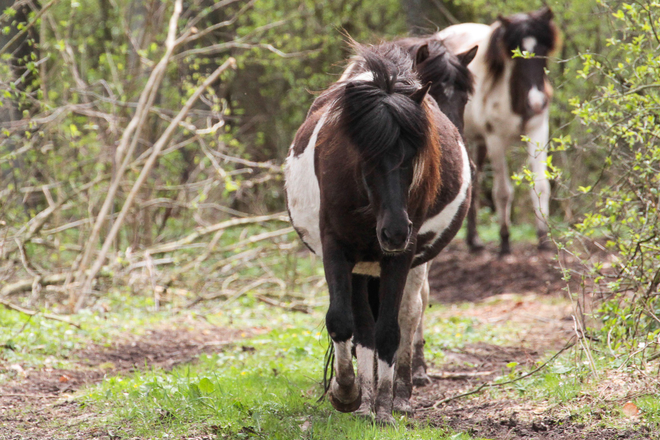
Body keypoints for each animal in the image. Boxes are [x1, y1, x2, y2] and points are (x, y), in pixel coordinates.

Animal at [286, 43, 472, 424]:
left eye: (414, 156)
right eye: (365, 158)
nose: (395, 231)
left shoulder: (402, 256)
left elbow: (391, 328)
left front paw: (385, 404)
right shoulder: (338, 250)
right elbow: (343, 322)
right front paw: (347, 392)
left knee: (405, 314)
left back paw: (397, 393)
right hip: (362, 265)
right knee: (363, 326)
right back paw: (364, 394)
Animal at [436, 6, 560, 254]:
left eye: (542, 51)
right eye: (515, 54)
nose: (537, 102)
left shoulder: (538, 131)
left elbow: (541, 185)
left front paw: (543, 239)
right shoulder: (496, 139)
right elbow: (502, 192)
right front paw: (504, 240)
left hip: (478, 142)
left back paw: (473, 240)